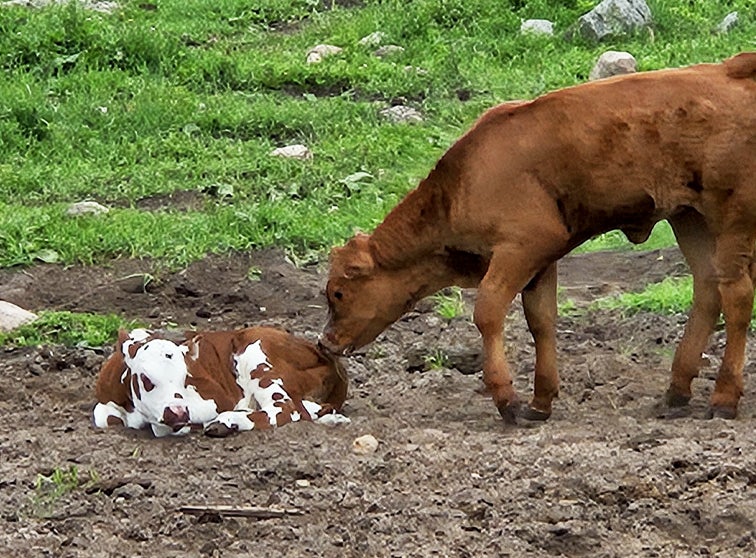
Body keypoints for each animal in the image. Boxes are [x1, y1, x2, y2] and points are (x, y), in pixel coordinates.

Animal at [93, 327, 349, 437]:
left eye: (185, 378)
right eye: (146, 378)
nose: (178, 413)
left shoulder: (216, 397)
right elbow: (104, 417)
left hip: (257, 355)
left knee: (287, 407)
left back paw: (227, 421)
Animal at [320, 52, 756, 423]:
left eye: (338, 293)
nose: (325, 343)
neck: (464, 180)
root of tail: (731, 69)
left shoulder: (523, 246)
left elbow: (488, 311)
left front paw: (507, 401)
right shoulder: (542, 260)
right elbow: (541, 320)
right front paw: (540, 402)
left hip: (731, 221)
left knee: (737, 296)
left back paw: (723, 399)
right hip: (690, 218)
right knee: (708, 289)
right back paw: (675, 393)